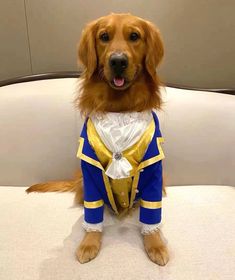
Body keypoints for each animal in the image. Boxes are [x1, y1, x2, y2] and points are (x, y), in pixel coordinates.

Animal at [26, 13, 169, 266]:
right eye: (104, 37)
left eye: (134, 36)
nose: (118, 61)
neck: (119, 109)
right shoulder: (90, 168)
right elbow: (92, 218)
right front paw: (89, 243)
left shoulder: (153, 167)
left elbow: (152, 216)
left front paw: (155, 244)